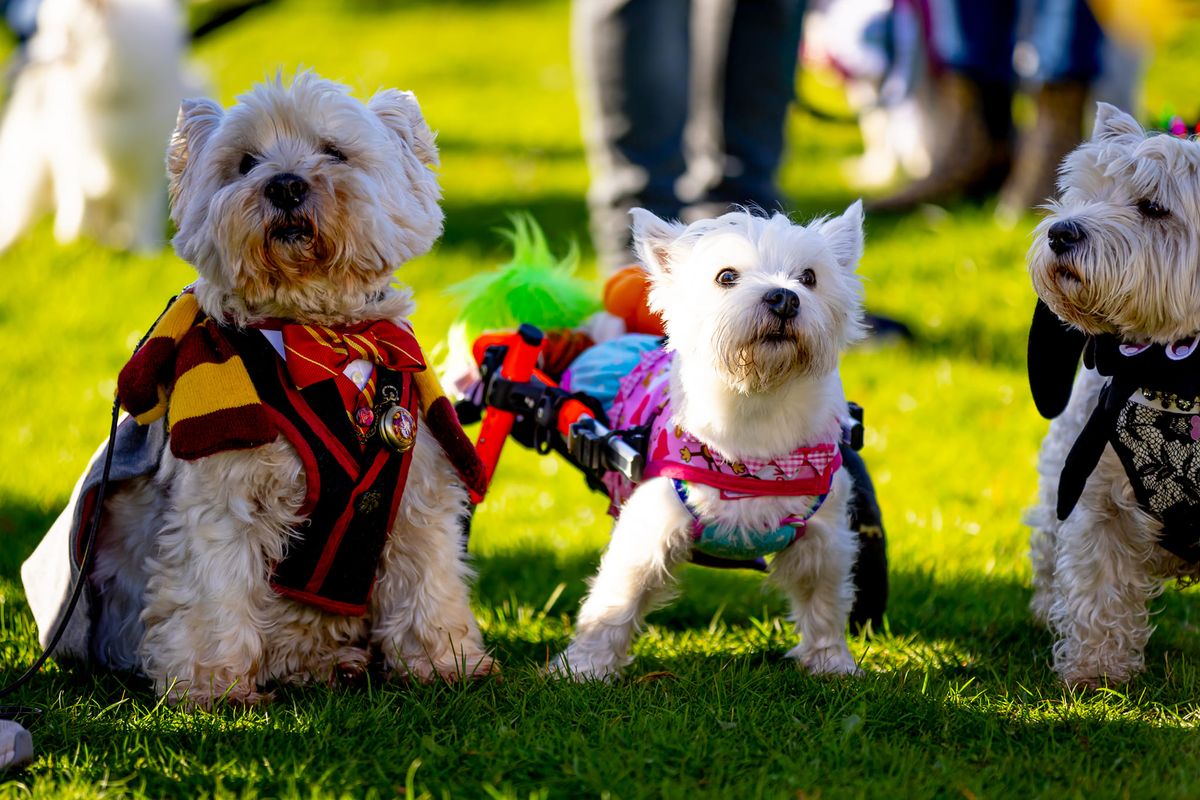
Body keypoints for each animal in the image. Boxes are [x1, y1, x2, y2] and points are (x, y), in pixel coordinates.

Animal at [19, 71, 487, 705]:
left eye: (333, 152)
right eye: (245, 163)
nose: (285, 185)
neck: (318, 336)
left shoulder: (416, 492)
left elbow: (428, 580)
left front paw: (446, 663)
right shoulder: (224, 492)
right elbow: (213, 589)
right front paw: (212, 687)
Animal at [549, 203, 868, 681]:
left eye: (809, 277)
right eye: (726, 276)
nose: (784, 297)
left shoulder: (824, 537)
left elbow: (825, 602)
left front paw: (832, 665)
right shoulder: (651, 526)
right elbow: (615, 601)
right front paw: (582, 669)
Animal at [1027, 103, 1200, 686]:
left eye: (1153, 207)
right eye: (1084, 194)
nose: (1060, 233)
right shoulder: (1096, 493)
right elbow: (1097, 584)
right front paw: (1094, 673)